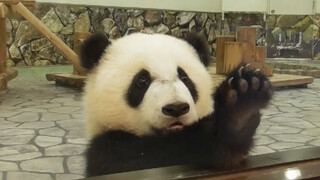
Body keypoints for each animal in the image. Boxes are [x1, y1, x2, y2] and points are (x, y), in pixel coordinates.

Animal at [81, 31, 274, 176]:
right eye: (141, 81)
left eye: (184, 78)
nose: (176, 108)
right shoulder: (108, 150)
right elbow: (153, 157)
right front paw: (236, 118)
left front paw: (246, 99)